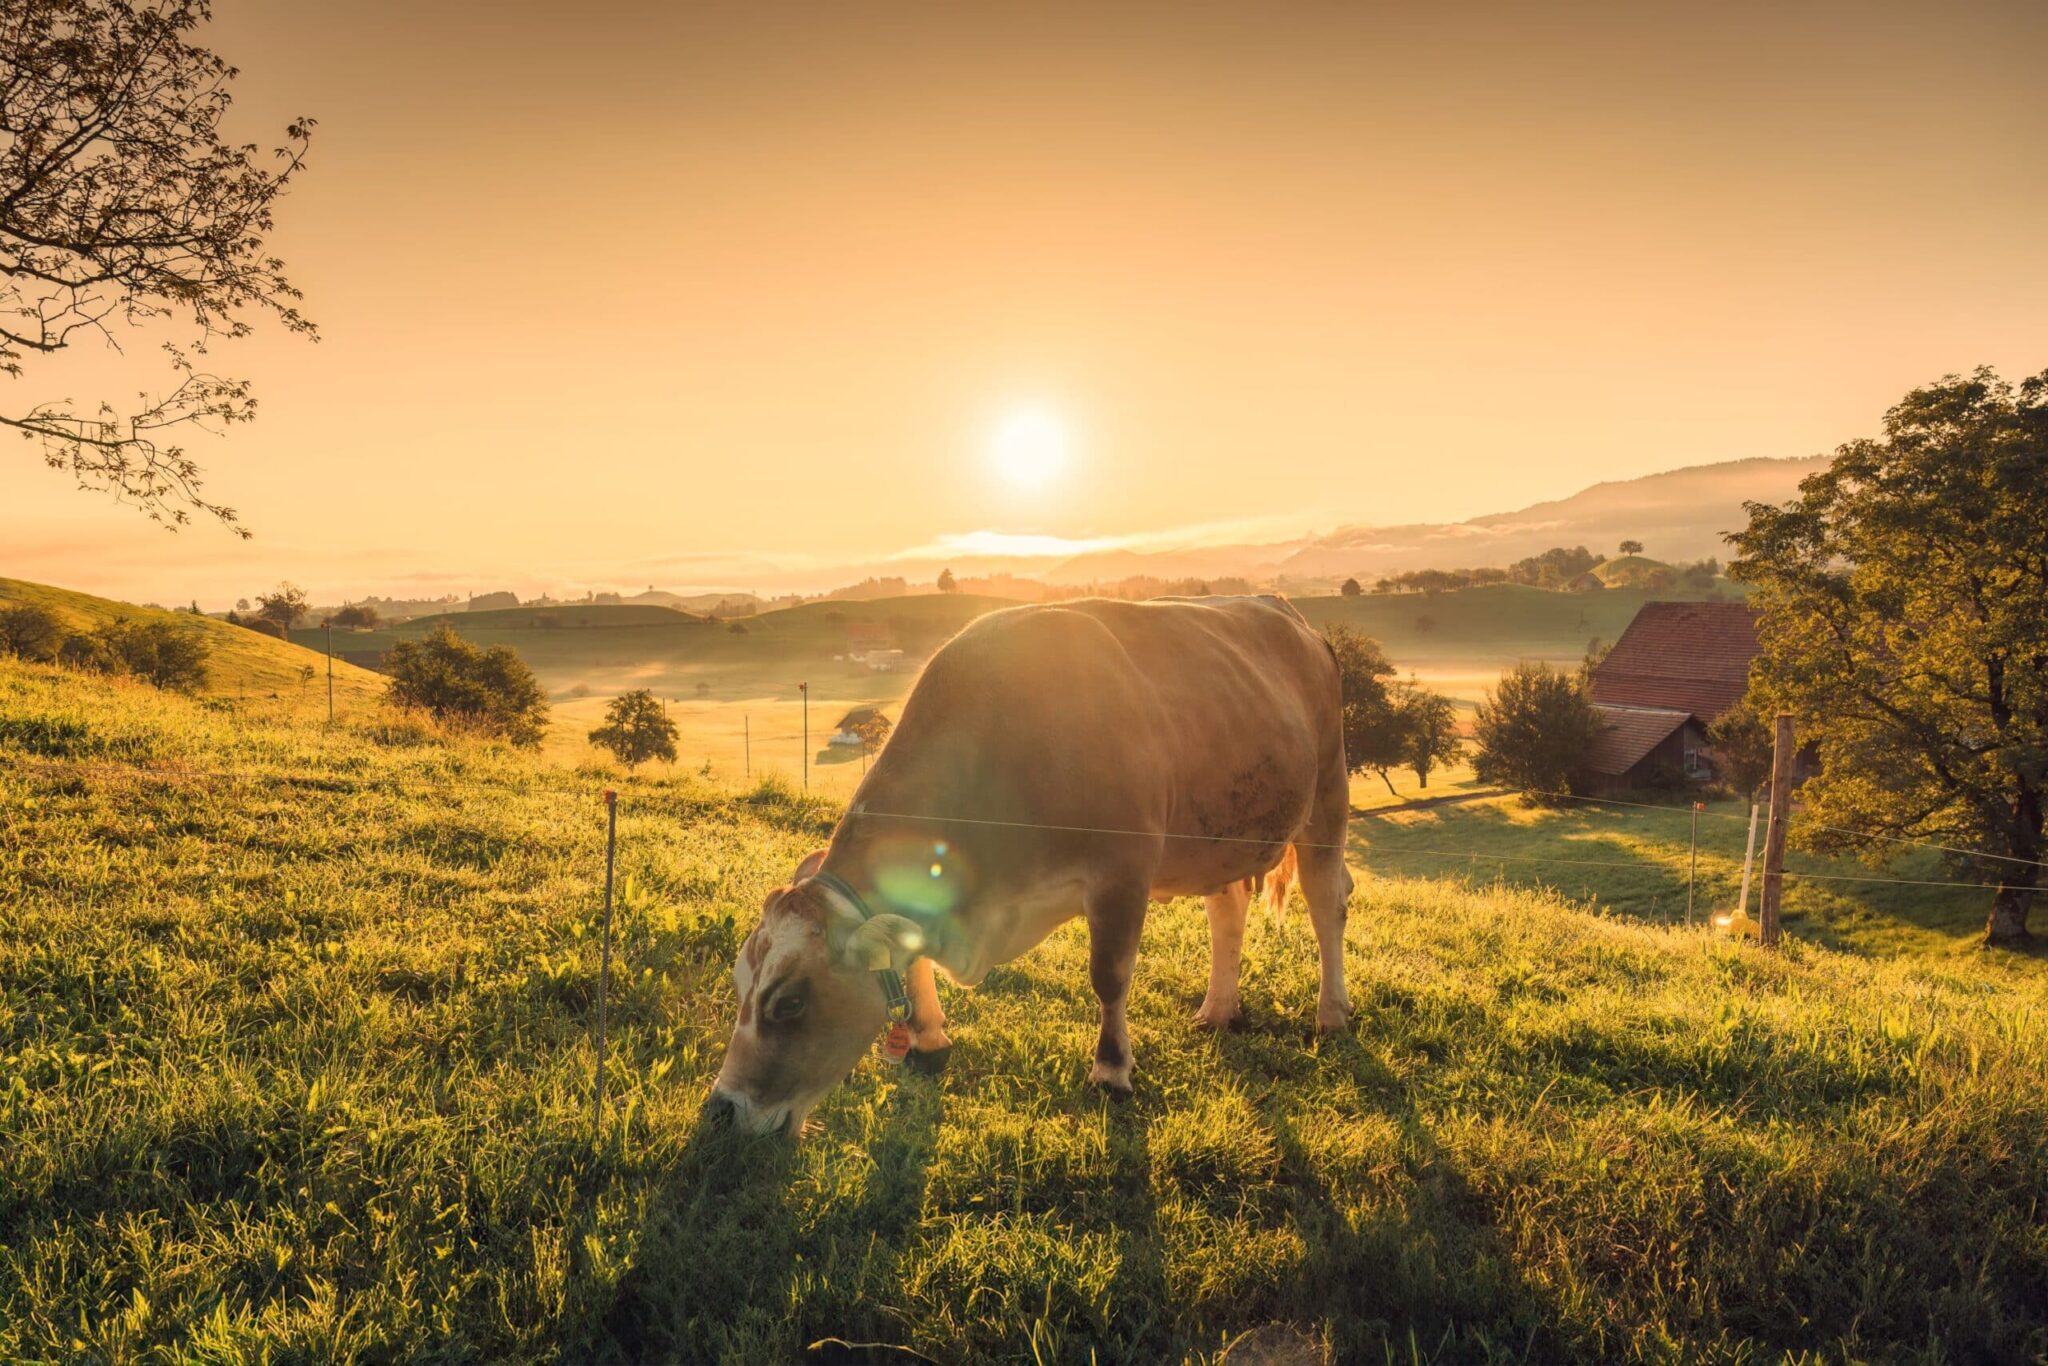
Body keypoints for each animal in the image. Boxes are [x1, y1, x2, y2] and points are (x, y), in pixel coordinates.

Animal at [708, 593, 1359, 1138]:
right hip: (1221, 834)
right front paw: (928, 1039)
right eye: (739, 984)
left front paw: (1112, 1069)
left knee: (1327, 903)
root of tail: (1293, 616)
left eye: (789, 1003)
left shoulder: (1123, 870)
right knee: (1228, 909)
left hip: (1328, 793)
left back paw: (1331, 1014)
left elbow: (1109, 974)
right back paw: (1217, 1009)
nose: (722, 1109)